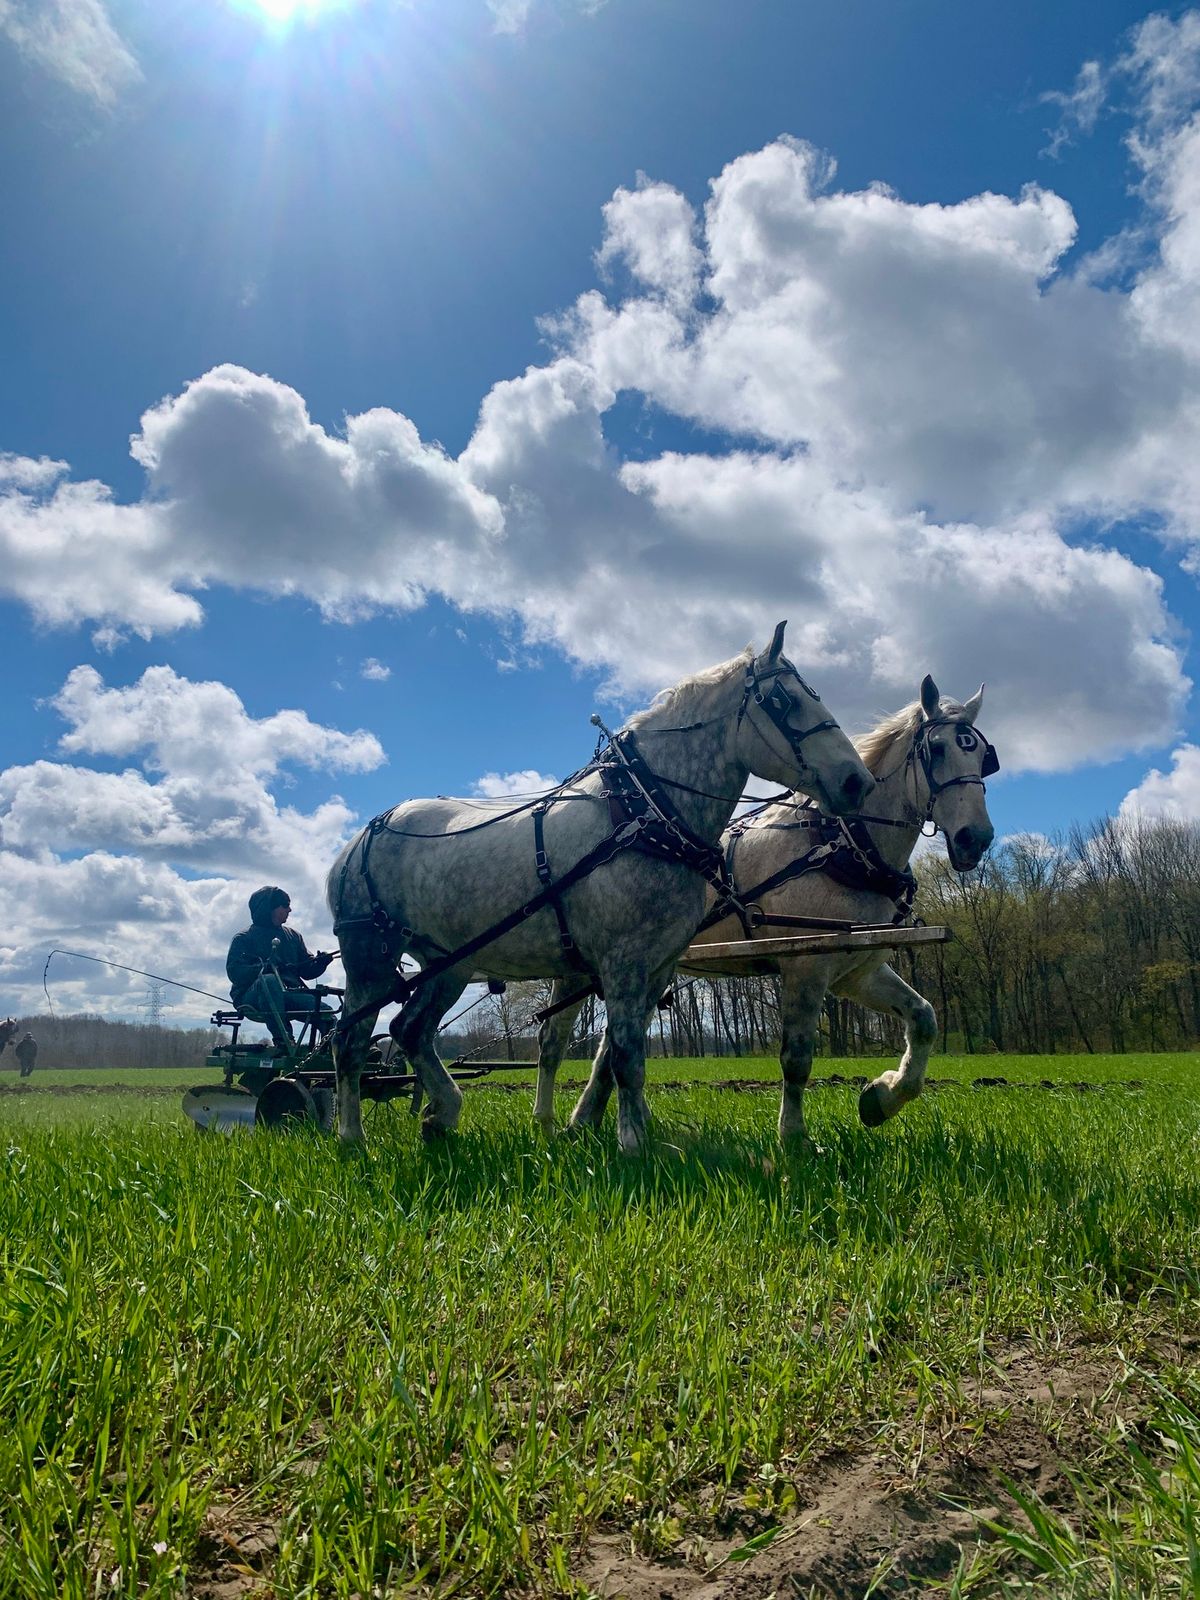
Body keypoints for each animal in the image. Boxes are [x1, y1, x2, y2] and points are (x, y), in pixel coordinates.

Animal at [326, 627, 876, 1152]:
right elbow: (627, 1054)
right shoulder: (622, 962)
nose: (857, 782)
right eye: (783, 701)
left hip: (448, 963)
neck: (641, 816)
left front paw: (621, 1128)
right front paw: (632, 1143)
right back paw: (352, 1137)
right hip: (369, 958)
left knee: (409, 1029)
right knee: (349, 1041)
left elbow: (617, 1054)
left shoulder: (658, 966)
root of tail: (358, 842)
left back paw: (442, 1112)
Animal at [540, 675, 998, 1152]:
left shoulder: (858, 969)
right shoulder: (805, 966)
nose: (976, 838)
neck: (843, 845)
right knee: (557, 1039)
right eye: (937, 749)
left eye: (983, 757)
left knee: (612, 1046)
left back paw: (591, 1119)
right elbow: (796, 1058)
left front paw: (882, 1097)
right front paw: (794, 1137)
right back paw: (564, 1122)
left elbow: (924, 1019)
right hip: (583, 965)